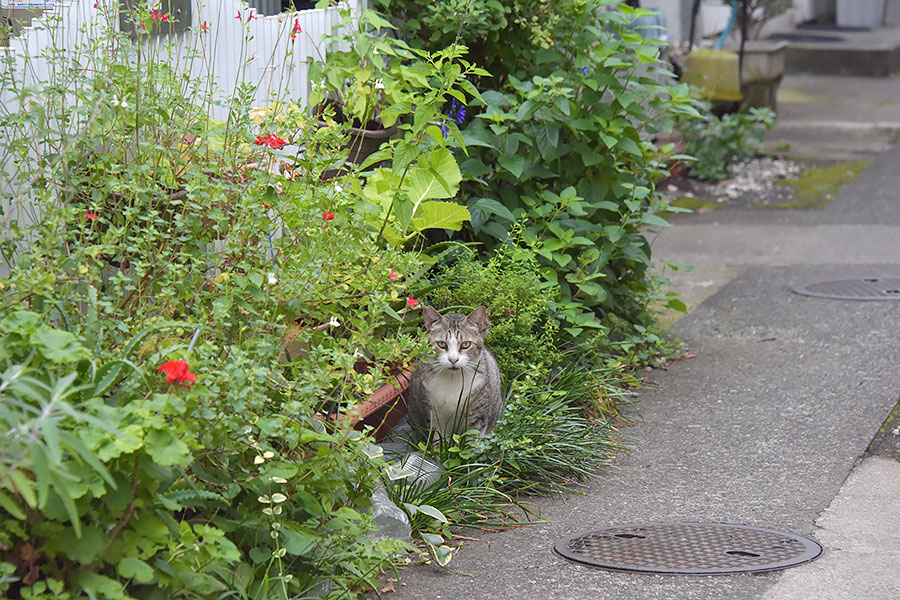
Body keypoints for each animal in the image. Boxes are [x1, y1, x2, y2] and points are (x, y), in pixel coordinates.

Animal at [404, 304, 502, 440]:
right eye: (441, 344)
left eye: (466, 344)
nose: (453, 359)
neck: (452, 379)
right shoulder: (434, 416)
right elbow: (438, 439)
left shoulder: (478, 415)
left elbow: (473, 440)